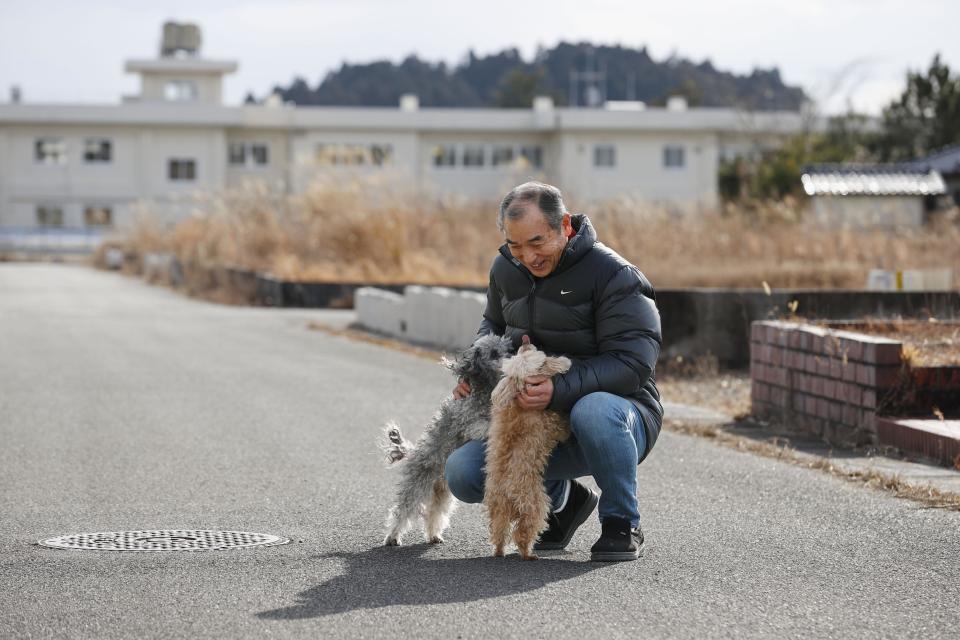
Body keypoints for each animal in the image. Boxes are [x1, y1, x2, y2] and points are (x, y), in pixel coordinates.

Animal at [382, 332, 516, 548]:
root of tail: (414, 452)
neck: (485, 389)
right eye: (495, 353)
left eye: (509, 348)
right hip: (417, 484)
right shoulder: (470, 422)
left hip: (442, 492)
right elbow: (483, 425)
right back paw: (393, 537)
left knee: (434, 513)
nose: (513, 357)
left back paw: (434, 535)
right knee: (402, 510)